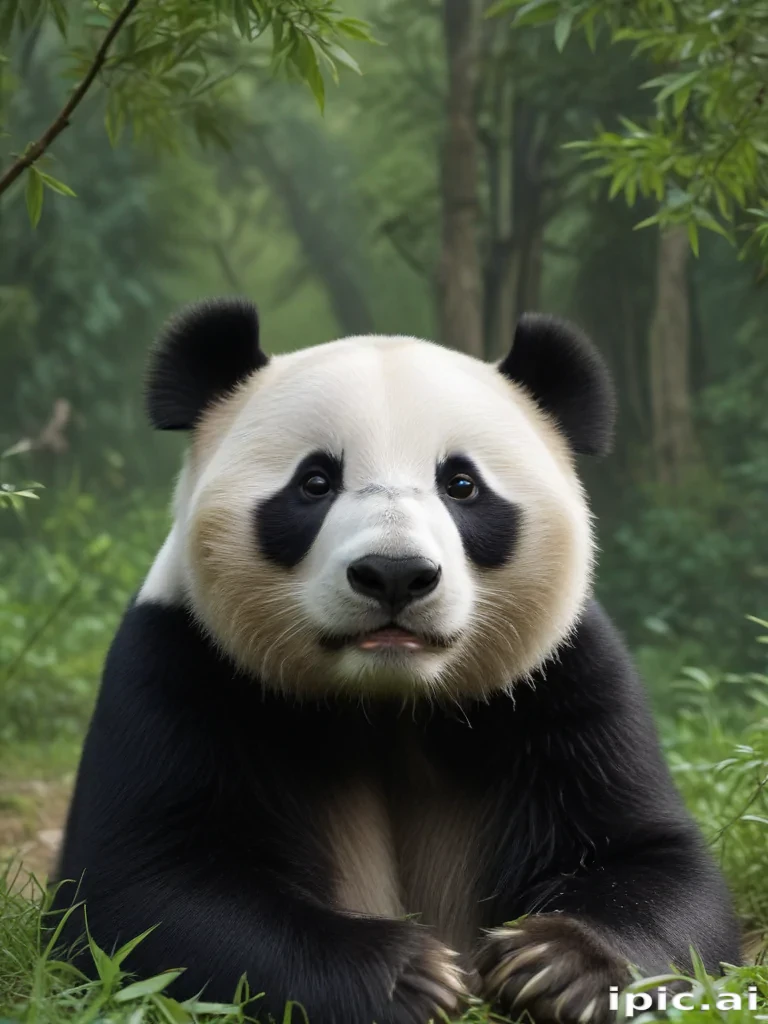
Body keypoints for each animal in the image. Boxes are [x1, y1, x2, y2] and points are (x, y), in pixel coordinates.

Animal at [54, 299, 740, 1024]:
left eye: (462, 484)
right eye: (315, 481)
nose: (394, 573)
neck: (387, 699)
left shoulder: (564, 680)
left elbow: (656, 862)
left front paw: (559, 965)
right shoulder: (182, 665)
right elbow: (143, 888)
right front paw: (409, 975)